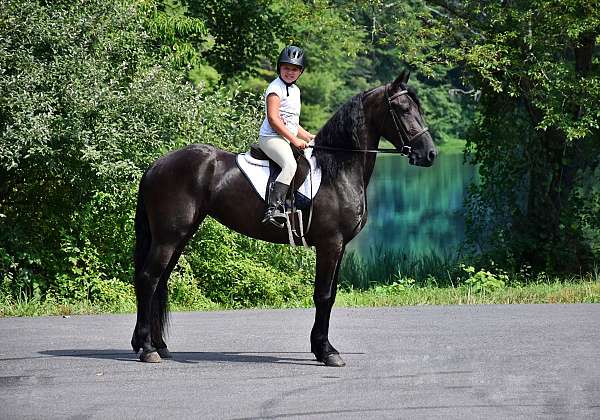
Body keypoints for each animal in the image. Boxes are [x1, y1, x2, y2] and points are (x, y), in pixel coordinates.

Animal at [131, 70, 436, 366]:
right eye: (403, 109)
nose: (429, 154)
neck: (337, 170)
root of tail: (156, 165)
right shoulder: (330, 245)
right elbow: (323, 295)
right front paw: (326, 352)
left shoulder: (340, 247)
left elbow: (331, 296)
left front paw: (322, 348)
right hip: (168, 237)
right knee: (148, 278)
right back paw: (147, 349)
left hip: (180, 236)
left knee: (160, 281)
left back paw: (158, 345)